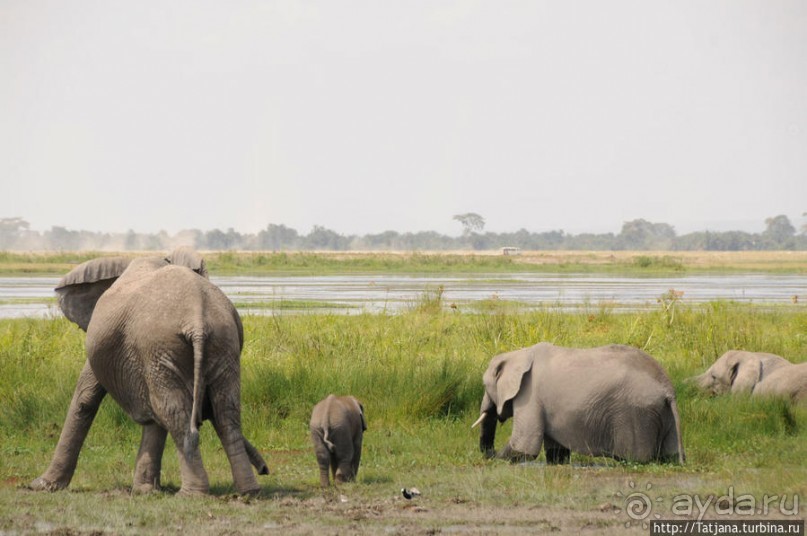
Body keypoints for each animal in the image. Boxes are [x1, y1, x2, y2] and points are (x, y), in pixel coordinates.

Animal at [29, 249, 268, 496]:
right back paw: (249, 491)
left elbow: (85, 399)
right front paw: (146, 491)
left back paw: (191, 494)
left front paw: (40, 485)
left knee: (174, 410)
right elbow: (152, 414)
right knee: (225, 410)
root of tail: (197, 319)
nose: (265, 469)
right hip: (220, 342)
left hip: (161, 344)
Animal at [474, 344, 688, 464]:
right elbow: (556, 451)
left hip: (637, 414)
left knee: (635, 458)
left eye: (485, 386)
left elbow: (524, 445)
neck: (518, 353)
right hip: (662, 414)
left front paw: (498, 459)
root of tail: (668, 389)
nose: (489, 454)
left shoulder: (530, 395)